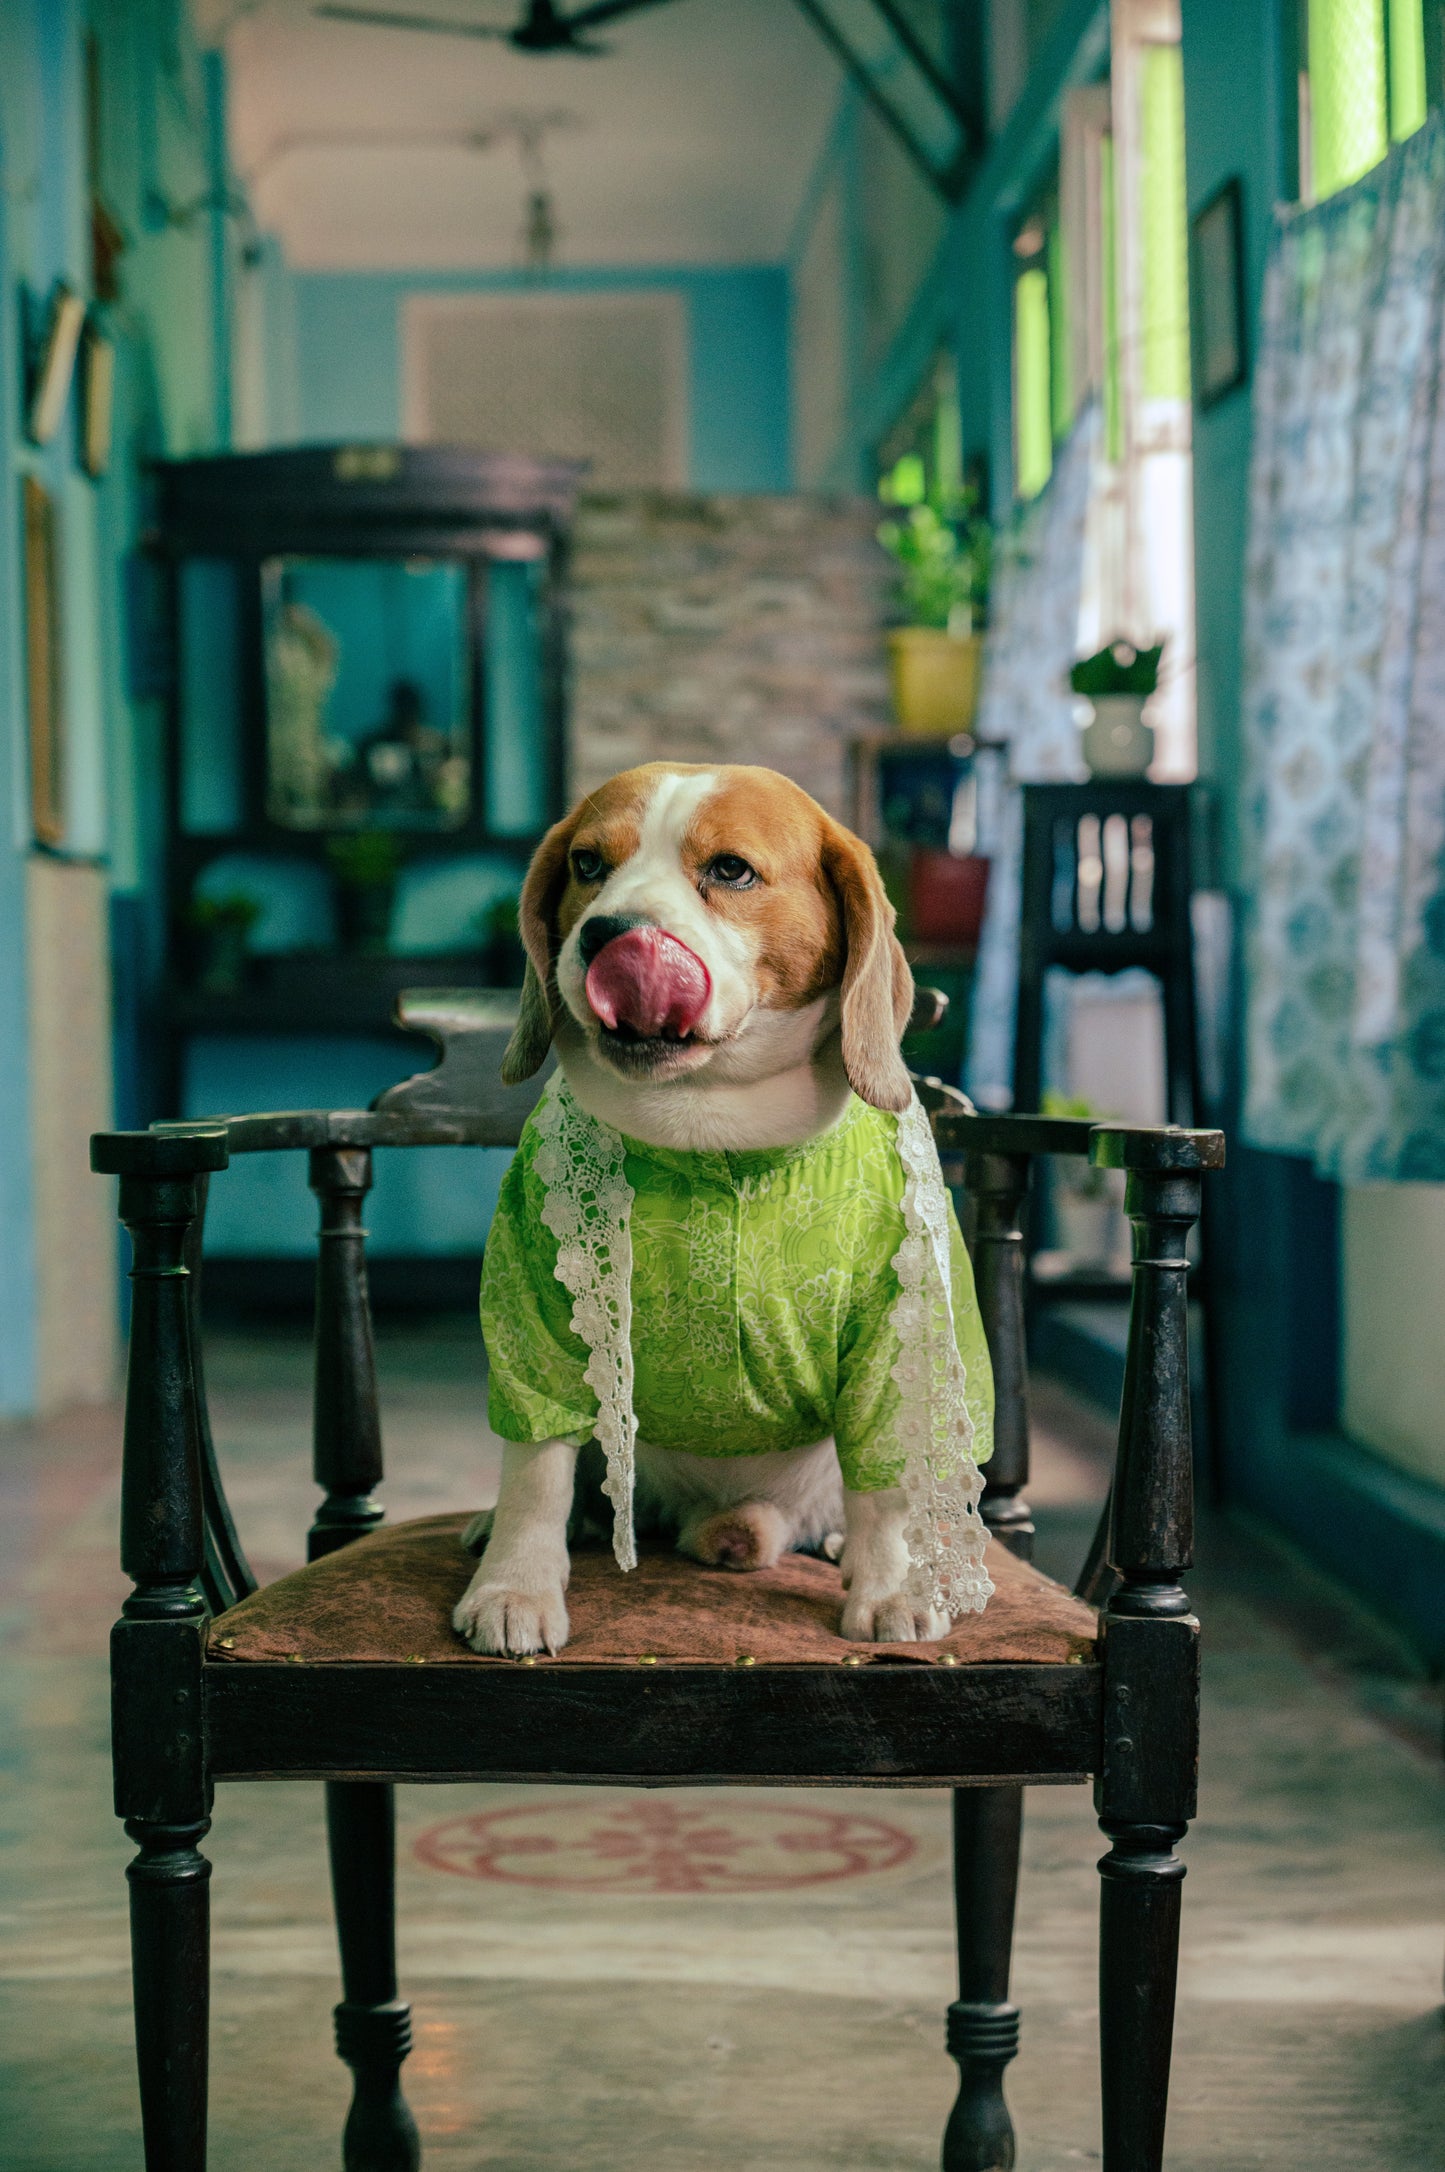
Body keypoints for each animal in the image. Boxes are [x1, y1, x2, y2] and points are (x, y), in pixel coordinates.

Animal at [454, 755, 990, 1650]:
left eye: (730, 871)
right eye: (587, 865)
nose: (608, 933)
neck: (711, 1134)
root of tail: (730, 1517)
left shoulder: (897, 1329)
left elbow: (883, 1489)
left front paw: (889, 1587)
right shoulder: (540, 1315)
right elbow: (536, 1473)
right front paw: (514, 1588)